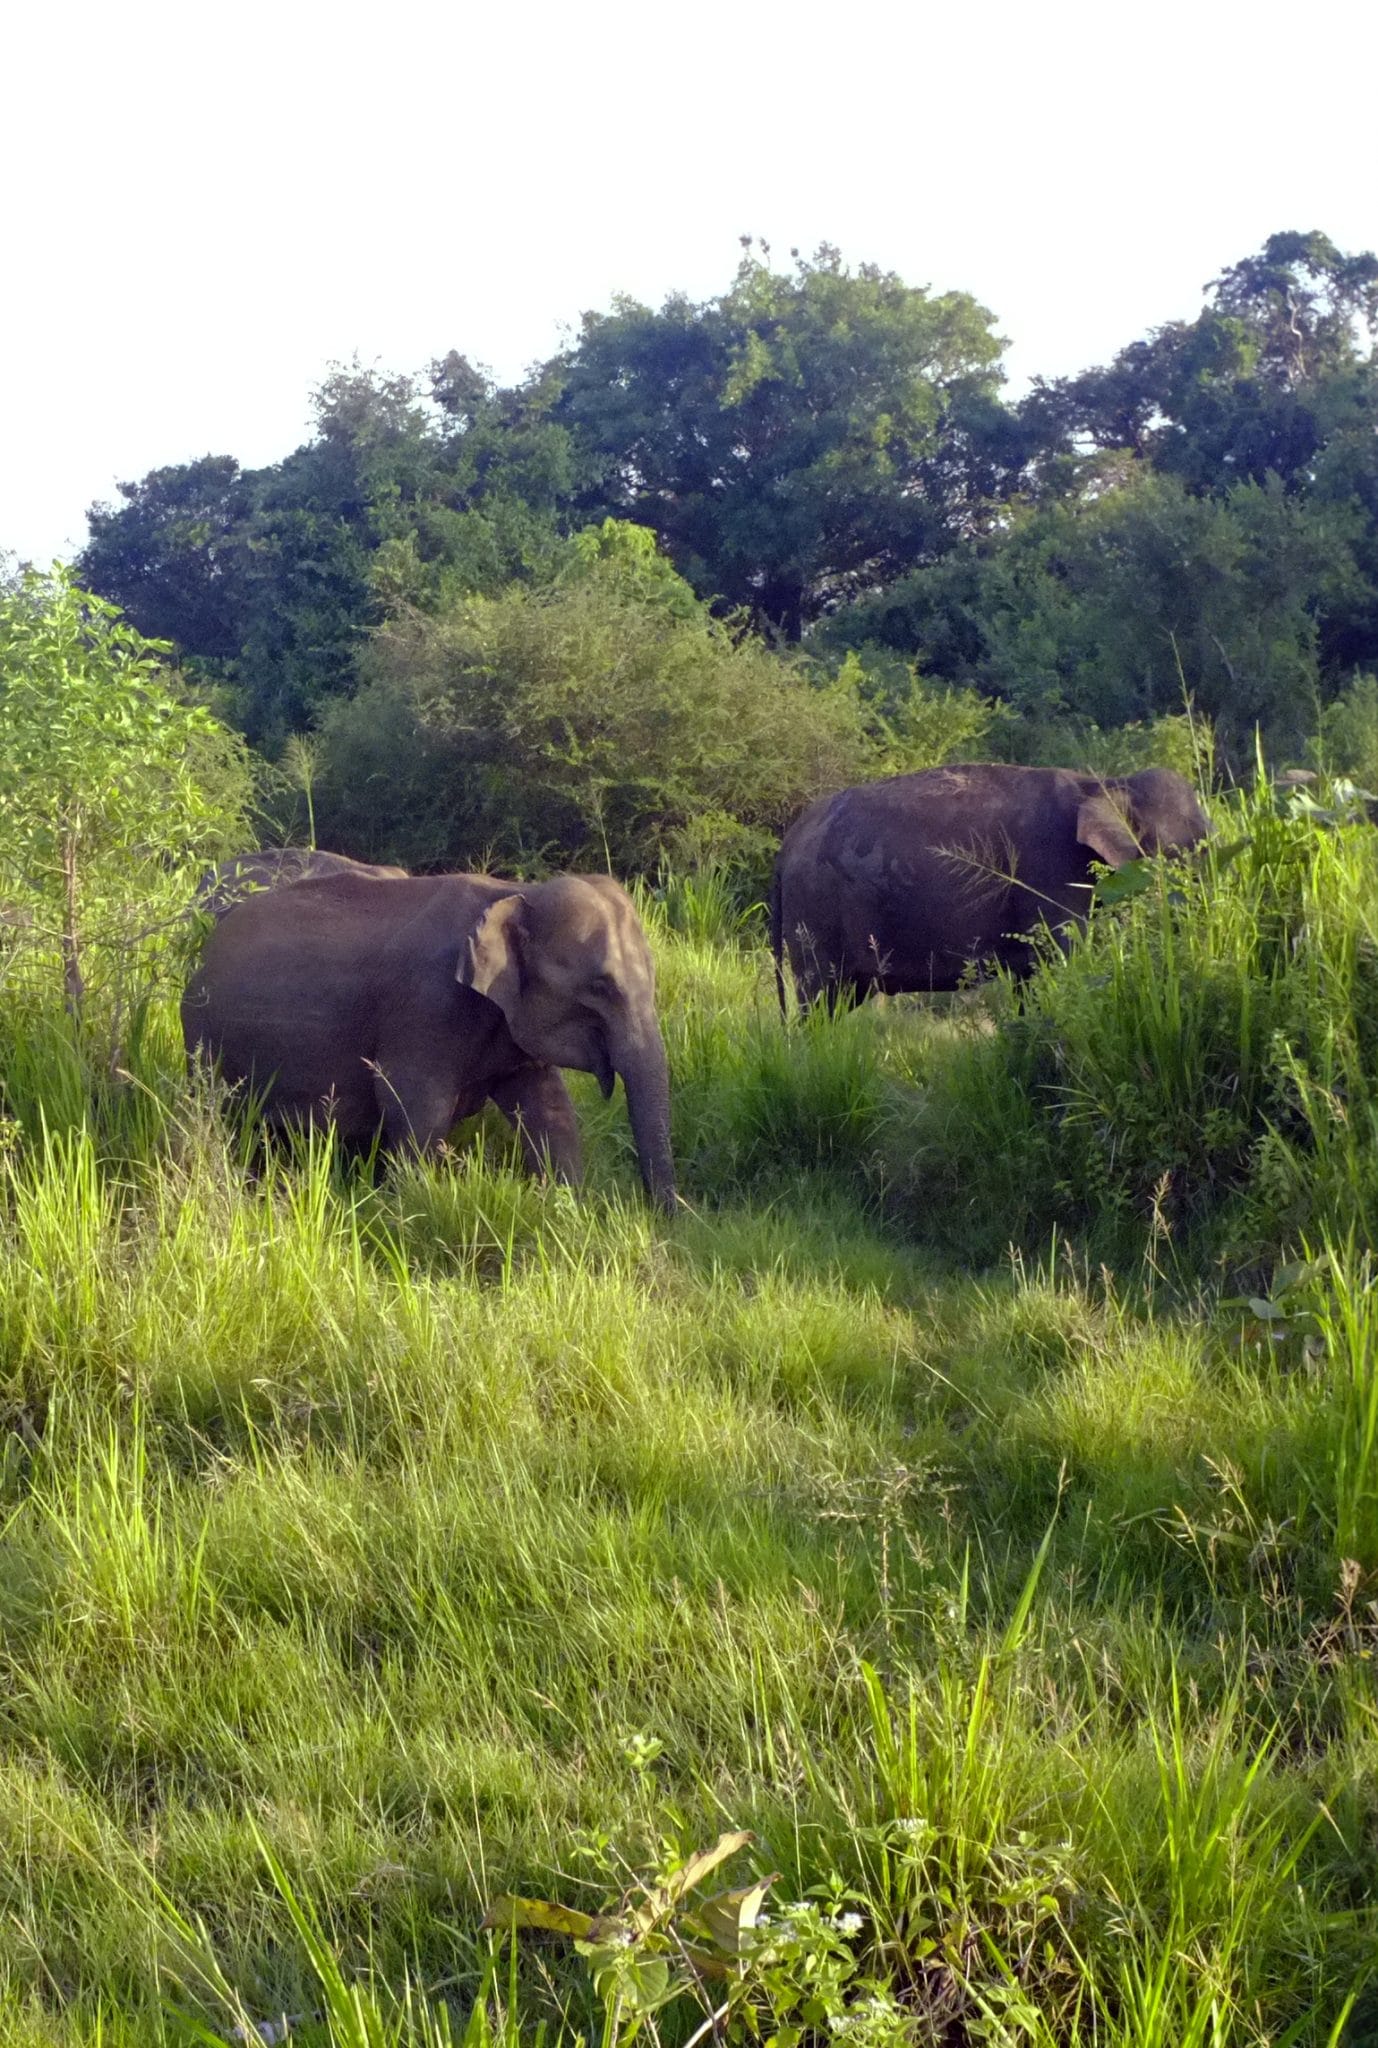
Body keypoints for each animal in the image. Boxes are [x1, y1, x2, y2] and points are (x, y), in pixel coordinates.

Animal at [181, 869, 677, 1211]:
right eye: (600, 987)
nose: (663, 1220)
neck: (515, 891)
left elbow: (548, 1106)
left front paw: (565, 1210)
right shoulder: (427, 1006)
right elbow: (414, 1105)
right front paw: (410, 1207)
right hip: (202, 1036)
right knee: (213, 1113)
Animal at [770, 763, 1213, 1010]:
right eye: (1189, 851)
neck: (1103, 783)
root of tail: (787, 844)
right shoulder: (1049, 871)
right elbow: (1064, 958)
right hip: (816, 912)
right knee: (821, 999)